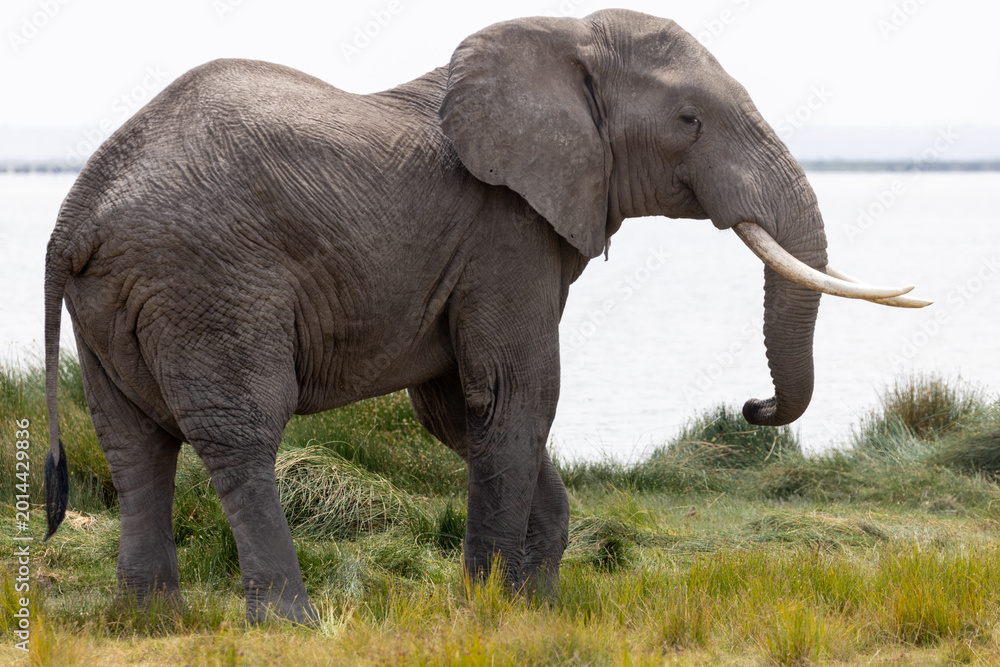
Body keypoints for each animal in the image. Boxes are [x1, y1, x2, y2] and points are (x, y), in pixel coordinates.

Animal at [42, 9, 926, 625]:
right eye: (689, 121)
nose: (753, 405)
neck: (565, 39)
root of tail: (76, 214)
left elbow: (461, 412)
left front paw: (535, 601)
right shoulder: (505, 231)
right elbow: (514, 394)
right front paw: (491, 606)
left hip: (117, 301)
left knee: (132, 443)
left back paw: (151, 621)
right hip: (209, 280)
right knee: (243, 431)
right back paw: (293, 623)